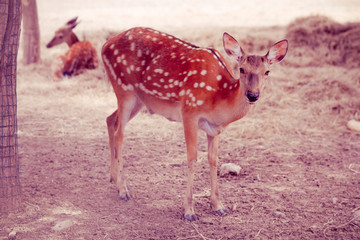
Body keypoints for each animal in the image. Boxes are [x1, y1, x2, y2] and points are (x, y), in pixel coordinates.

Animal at [102, 27, 288, 221]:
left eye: (267, 72)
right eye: (242, 69)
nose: (253, 95)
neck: (218, 98)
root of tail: (105, 45)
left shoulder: (214, 129)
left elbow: (213, 160)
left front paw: (219, 206)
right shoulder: (189, 112)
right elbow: (192, 159)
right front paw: (189, 211)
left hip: (139, 100)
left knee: (110, 120)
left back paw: (114, 180)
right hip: (124, 89)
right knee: (119, 134)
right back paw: (123, 190)